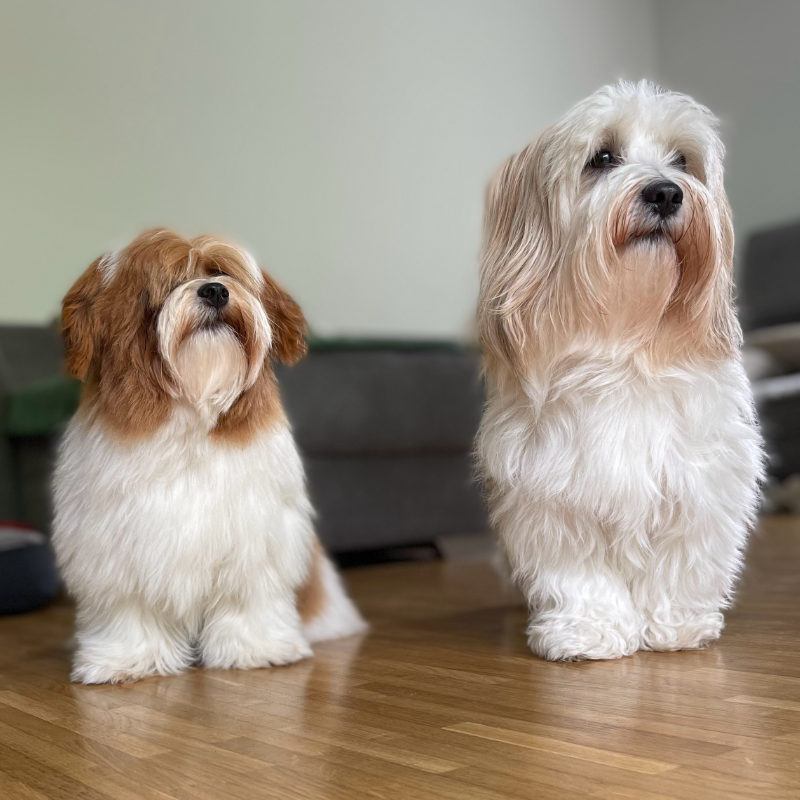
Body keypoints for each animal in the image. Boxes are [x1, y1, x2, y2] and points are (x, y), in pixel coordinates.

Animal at [50, 228, 362, 684]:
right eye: (169, 282)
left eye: (221, 272)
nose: (214, 290)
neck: (192, 415)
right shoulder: (115, 548)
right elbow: (130, 609)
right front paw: (127, 659)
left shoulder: (255, 538)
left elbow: (248, 598)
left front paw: (257, 650)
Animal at [478, 81, 764, 660]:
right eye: (603, 158)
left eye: (683, 161)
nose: (666, 193)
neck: (626, 343)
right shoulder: (555, 495)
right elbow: (581, 575)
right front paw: (588, 631)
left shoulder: (699, 482)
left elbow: (683, 563)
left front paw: (676, 625)